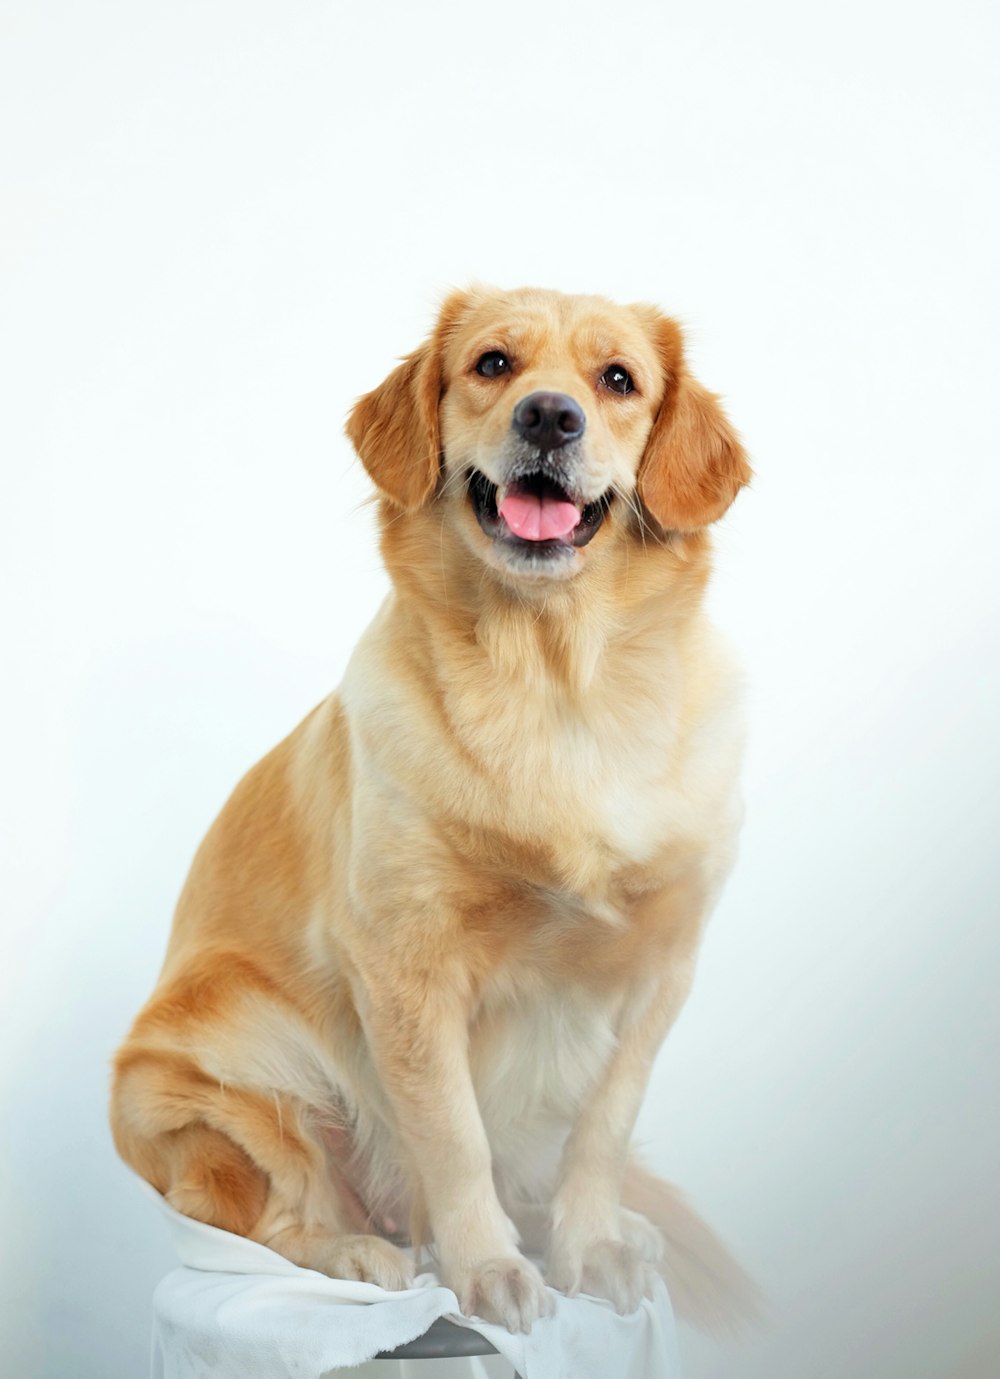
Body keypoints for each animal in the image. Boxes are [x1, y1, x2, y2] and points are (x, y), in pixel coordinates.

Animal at [108, 288, 750, 1334]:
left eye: (617, 379)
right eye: (492, 364)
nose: (549, 416)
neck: (554, 684)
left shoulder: (663, 964)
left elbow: (604, 1128)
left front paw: (591, 1246)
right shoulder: (405, 966)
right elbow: (453, 1136)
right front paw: (488, 1266)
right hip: (226, 1065)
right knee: (277, 1215)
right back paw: (362, 1253)